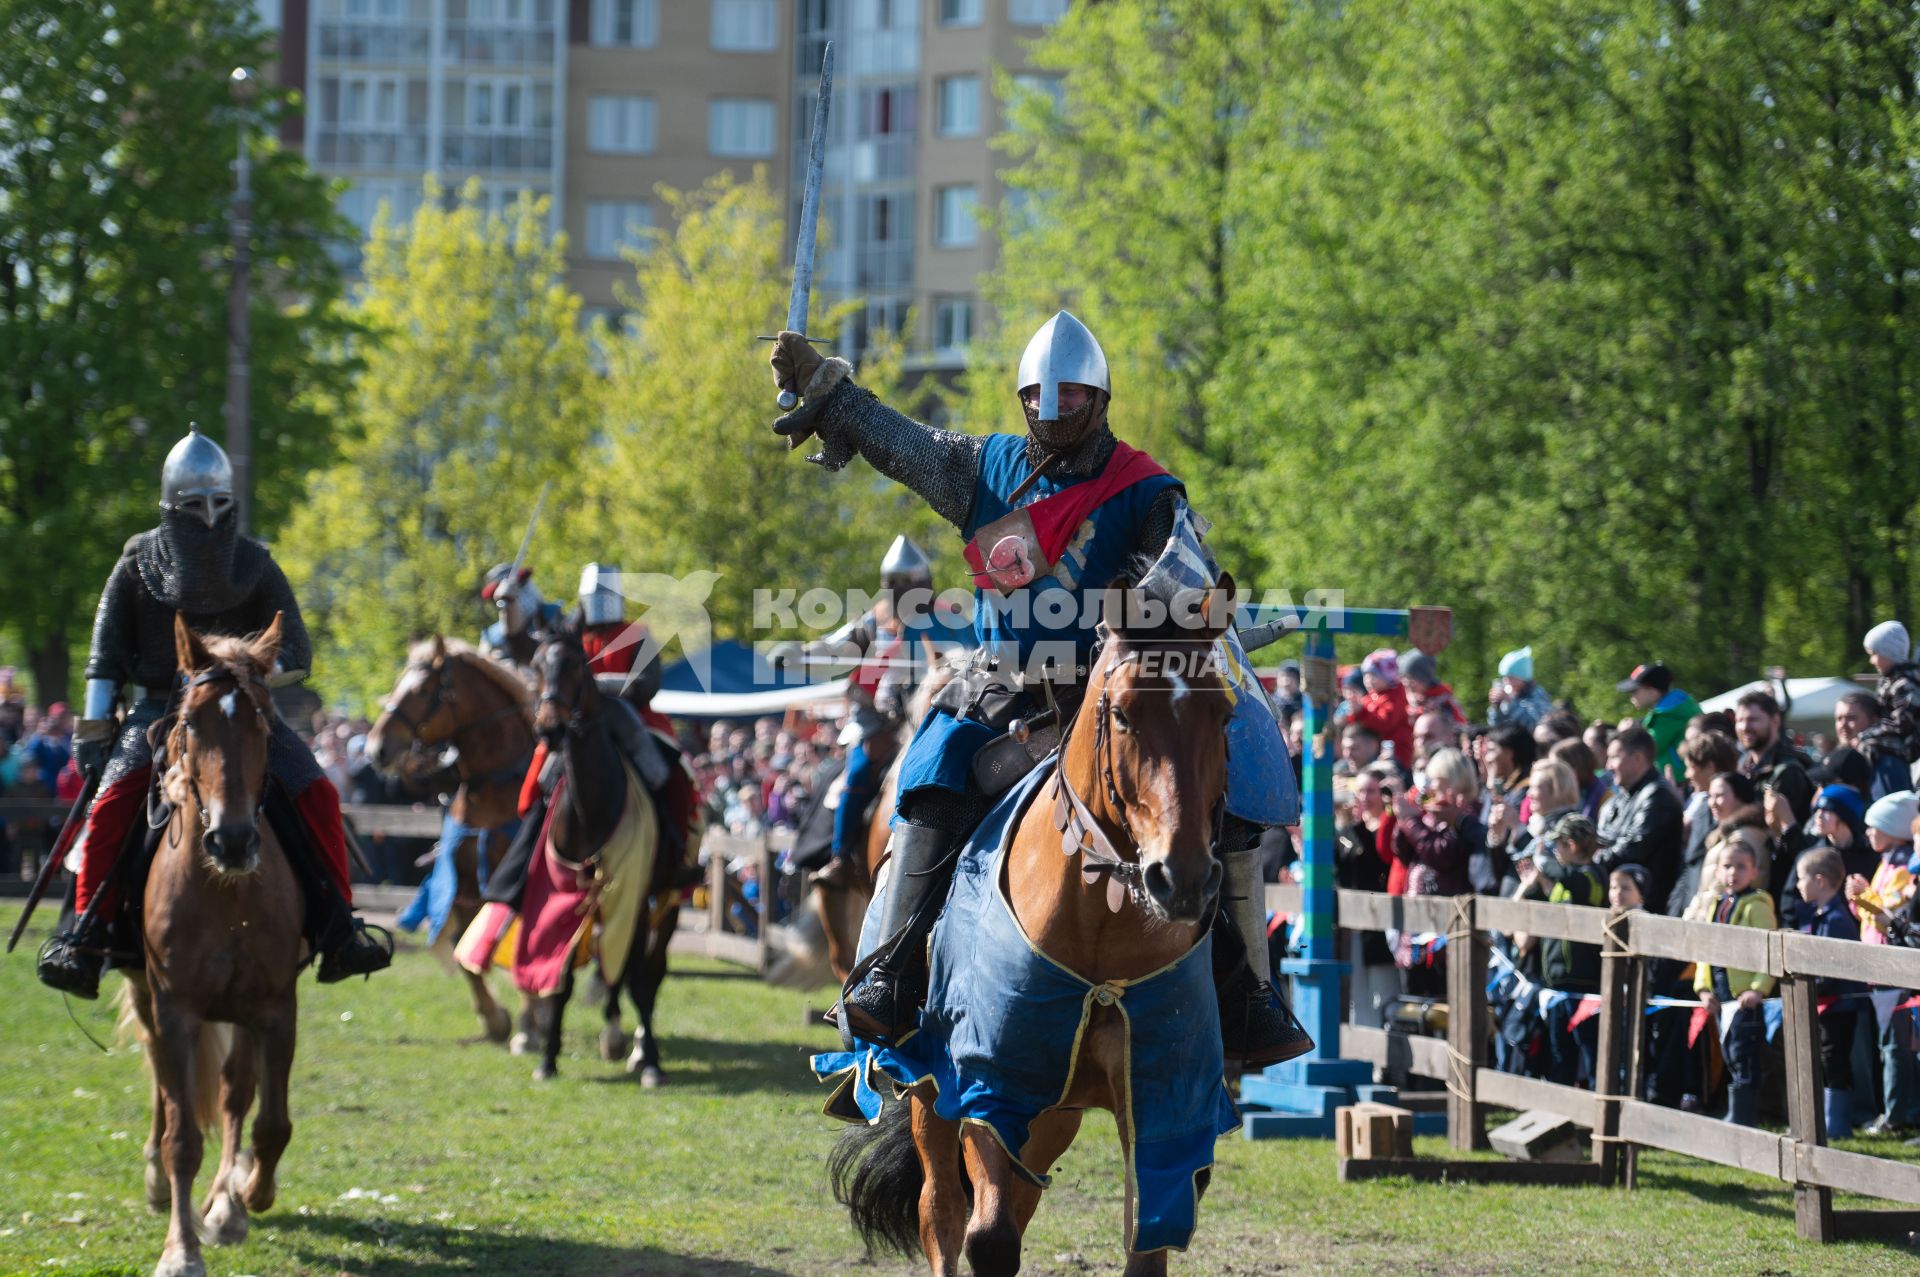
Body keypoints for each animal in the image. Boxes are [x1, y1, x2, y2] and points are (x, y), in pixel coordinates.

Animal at [118, 614, 303, 1267]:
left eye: (263, 724)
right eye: (192, 722)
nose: (232, 839)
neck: (226, 895)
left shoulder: (274, 1008)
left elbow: (270, 1123)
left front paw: (241, 1198)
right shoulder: (175, 1009)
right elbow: (183, 1137)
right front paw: (180, 1250)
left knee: (234, 1094)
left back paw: (227, 1199)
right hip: (149, 1000)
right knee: (160, 1080)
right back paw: (155, 1177)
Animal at [362, 637, 533, 1044]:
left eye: (424, 690)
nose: (376, 749)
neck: (494, 789)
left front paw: (528, 1025)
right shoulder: (465, 886)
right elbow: (462, 950)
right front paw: (494, 1017)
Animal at [529, 622, 679, 1083]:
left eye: (577, 664)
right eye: (535, 665)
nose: (551, 729)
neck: (591, 810)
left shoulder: (635, 895)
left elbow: (637, 980)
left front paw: (651, 1062)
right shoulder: (563, 898)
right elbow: (560, 977)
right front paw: (547, 1058)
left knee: (644, 972)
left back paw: (632, 1045)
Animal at [833, 579, 1236, 1275]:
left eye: (1223, 716)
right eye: (1122, 713)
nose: (1181, 878)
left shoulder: (1166, 1104)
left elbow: (1146, 1244)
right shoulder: (988, 1085)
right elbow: (988, 1237)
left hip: (1054, 1109)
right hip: (930, 1085)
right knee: (943, 1211)